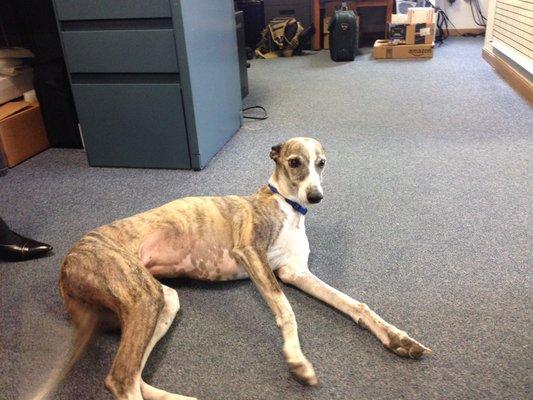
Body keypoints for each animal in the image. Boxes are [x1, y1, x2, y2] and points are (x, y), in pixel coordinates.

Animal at [34, 138, 428, 400]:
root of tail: (67, 264)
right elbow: (287, 311)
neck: (286, 207)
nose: (315, 197)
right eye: (295, 162)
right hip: (142, 296)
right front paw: (297, 362)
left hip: (163, 301)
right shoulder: (251, 253)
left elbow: (355, 304)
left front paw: (398, 338)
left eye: (322, 163)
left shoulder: (295, 273)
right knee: (120, 379)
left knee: (135, 375)